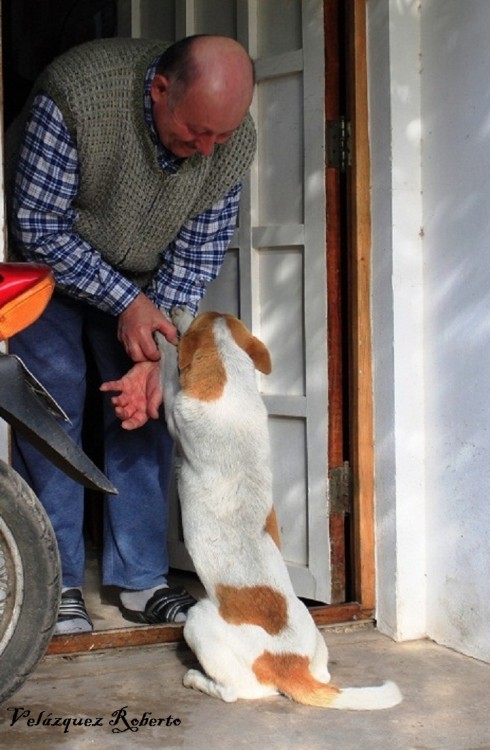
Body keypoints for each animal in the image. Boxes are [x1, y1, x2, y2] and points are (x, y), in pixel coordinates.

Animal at [157, 310, 402, 712]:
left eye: (193, 319)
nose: (177, 310)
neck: (232, 385)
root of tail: (292, 664)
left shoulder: (175, 415)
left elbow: (166, 381)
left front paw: (161, 345)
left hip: (197, 620)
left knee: (235, 692)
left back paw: (196, 679)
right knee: (323, 677)